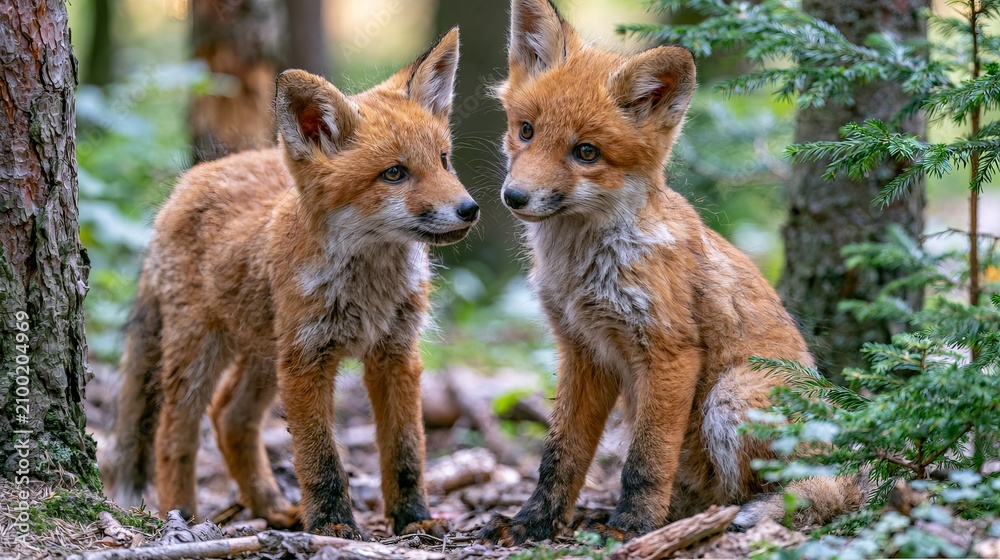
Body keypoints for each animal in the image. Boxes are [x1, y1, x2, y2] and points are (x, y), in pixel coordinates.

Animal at [104, 29, 477, 538]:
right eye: (395, 174)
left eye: (443, 161)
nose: (470, 209)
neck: (369, 289)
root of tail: (183, 186)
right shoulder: (306, 359)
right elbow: (320, 458)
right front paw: (333, 526)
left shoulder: (395, 353)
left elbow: (407, 450)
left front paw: (413, 518)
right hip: (202, 351)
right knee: (173, 433)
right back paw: (180, 517)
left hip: (265, 354)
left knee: (229, 417)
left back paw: (270, 507)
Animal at [478, 0, 861, 546]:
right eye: (525, 130)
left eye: (586, 152)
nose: (515, 197)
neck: (583, 270)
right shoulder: (581, 350)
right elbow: (560, 455)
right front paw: (534, 522)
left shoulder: (669, 352)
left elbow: (646, 459)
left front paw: (634, 527)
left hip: (730, 393)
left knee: (792, 492)